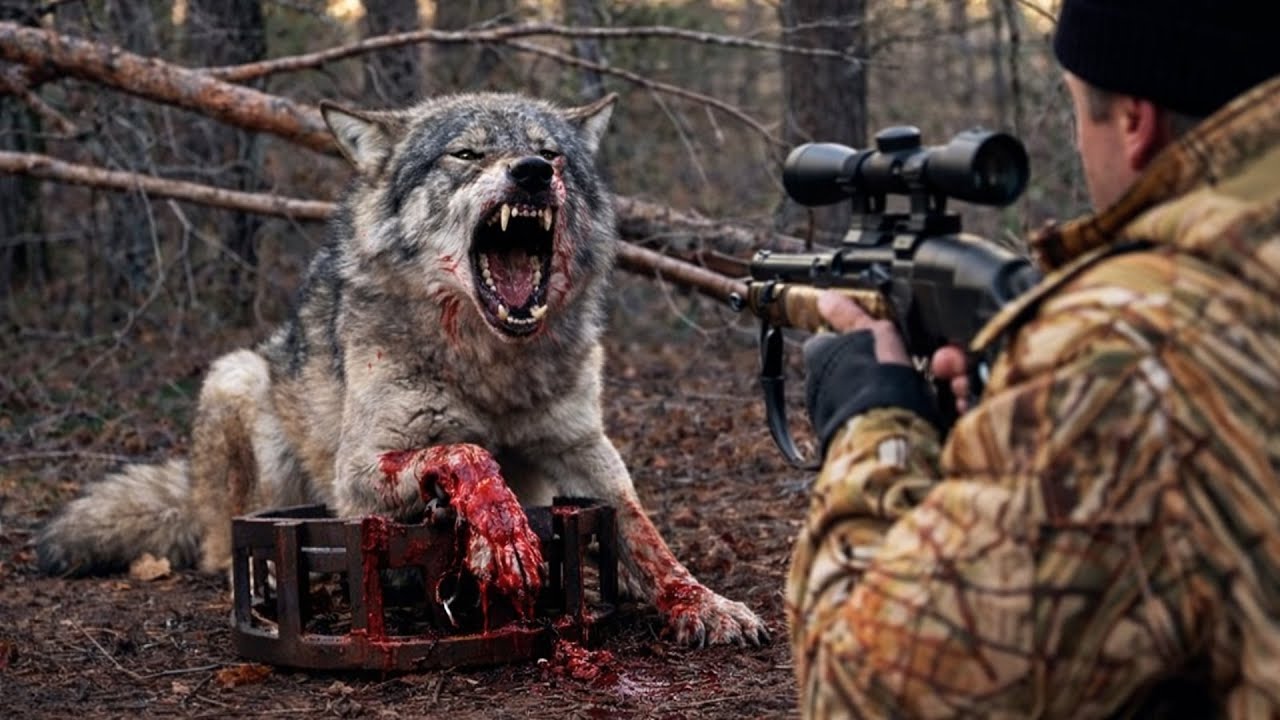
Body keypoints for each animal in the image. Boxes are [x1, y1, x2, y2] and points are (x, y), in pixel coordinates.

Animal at [35, 91, 767, 647]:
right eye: (467, 154)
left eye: (552, 152)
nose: (533, 171)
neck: (490, 364)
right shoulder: (358, 477)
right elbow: (467, 450)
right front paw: (500, 532)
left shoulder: (583, 447)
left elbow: (643, 534)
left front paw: (703, 604)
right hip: (238, 380)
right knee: (226, 542)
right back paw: (263, 572)